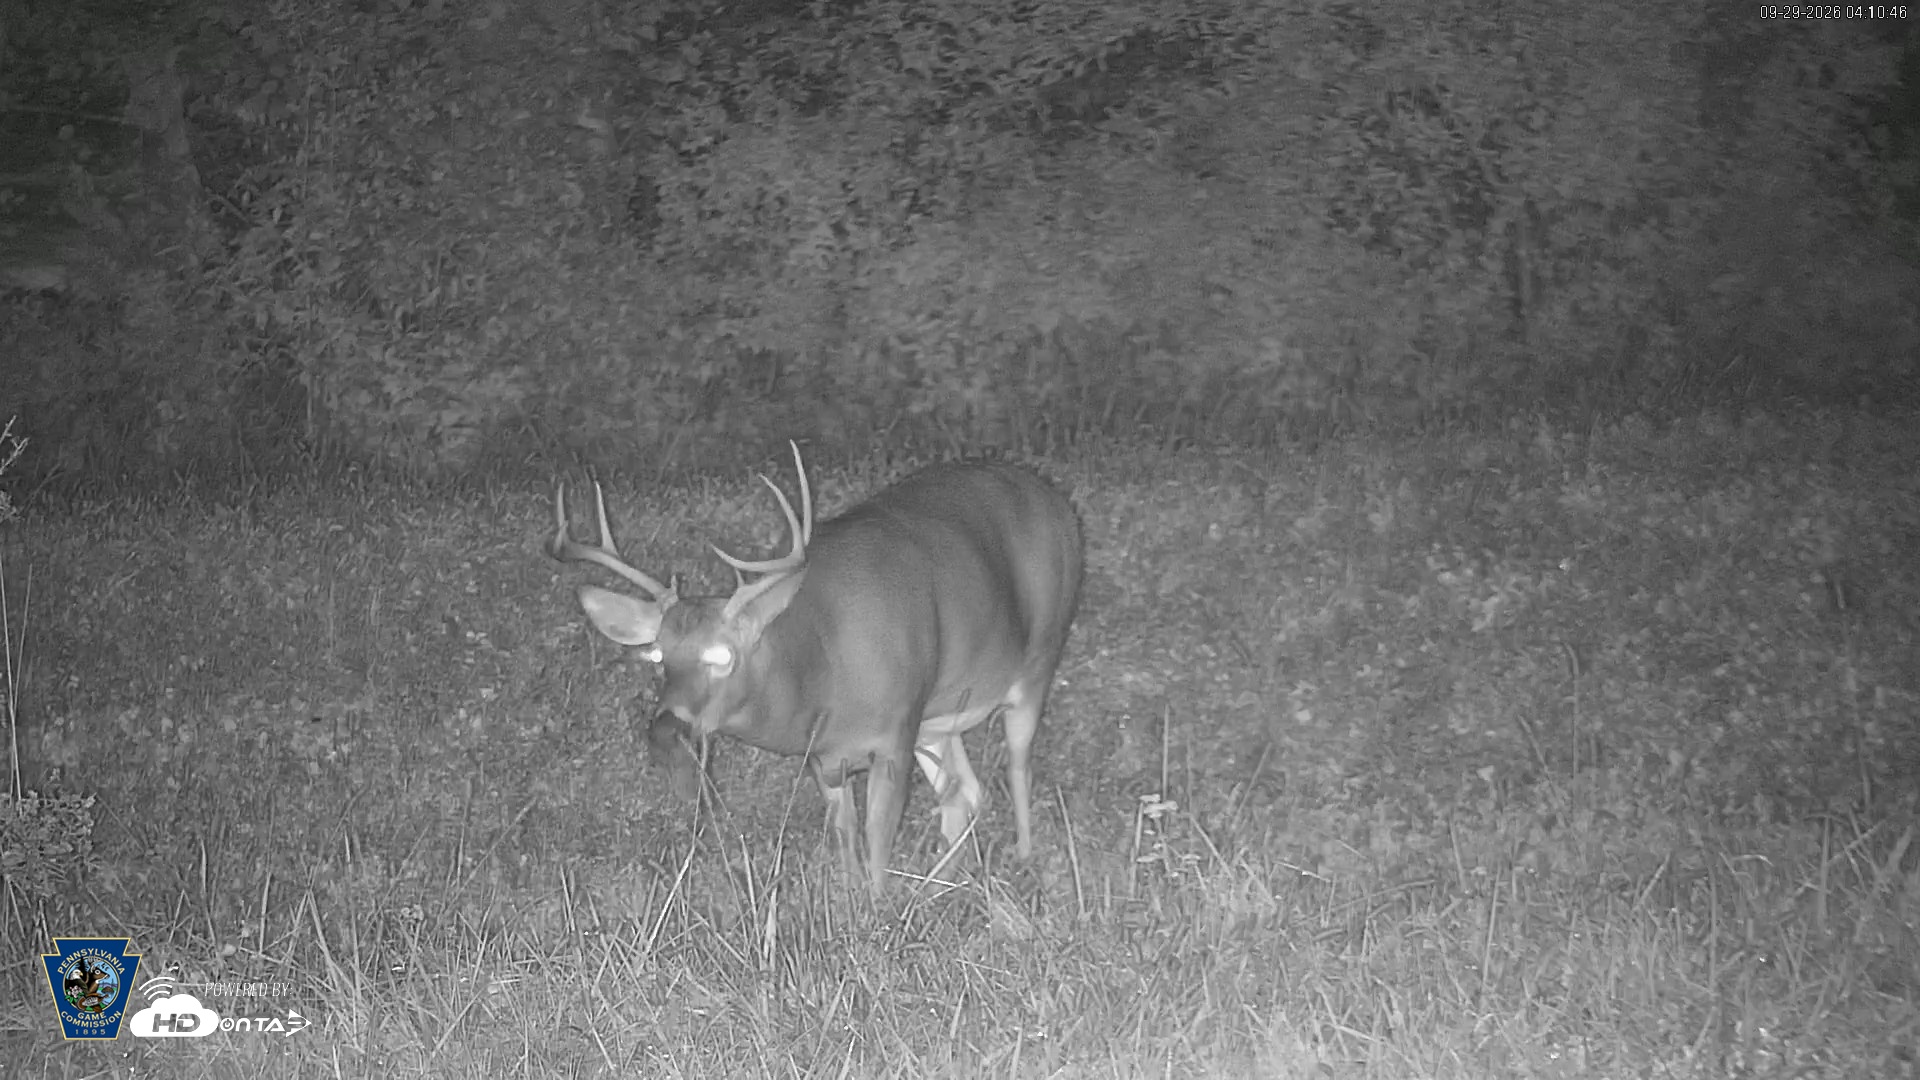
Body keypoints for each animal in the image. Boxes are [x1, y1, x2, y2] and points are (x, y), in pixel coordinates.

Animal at [549, 444, 1083, 896]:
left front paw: (878, 913)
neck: (820, 668)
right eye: (658, 655)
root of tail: (1052, 496)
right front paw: (853, 907)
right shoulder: (826, 755)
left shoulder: (896, 728)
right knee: (965, 795)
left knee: (1015, 767)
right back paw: (937, 887)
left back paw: (1022, 857)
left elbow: (878, 836)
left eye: (722, 655)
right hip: (939, 716)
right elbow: (846, 837)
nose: (664, 728)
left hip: (1037, 658)